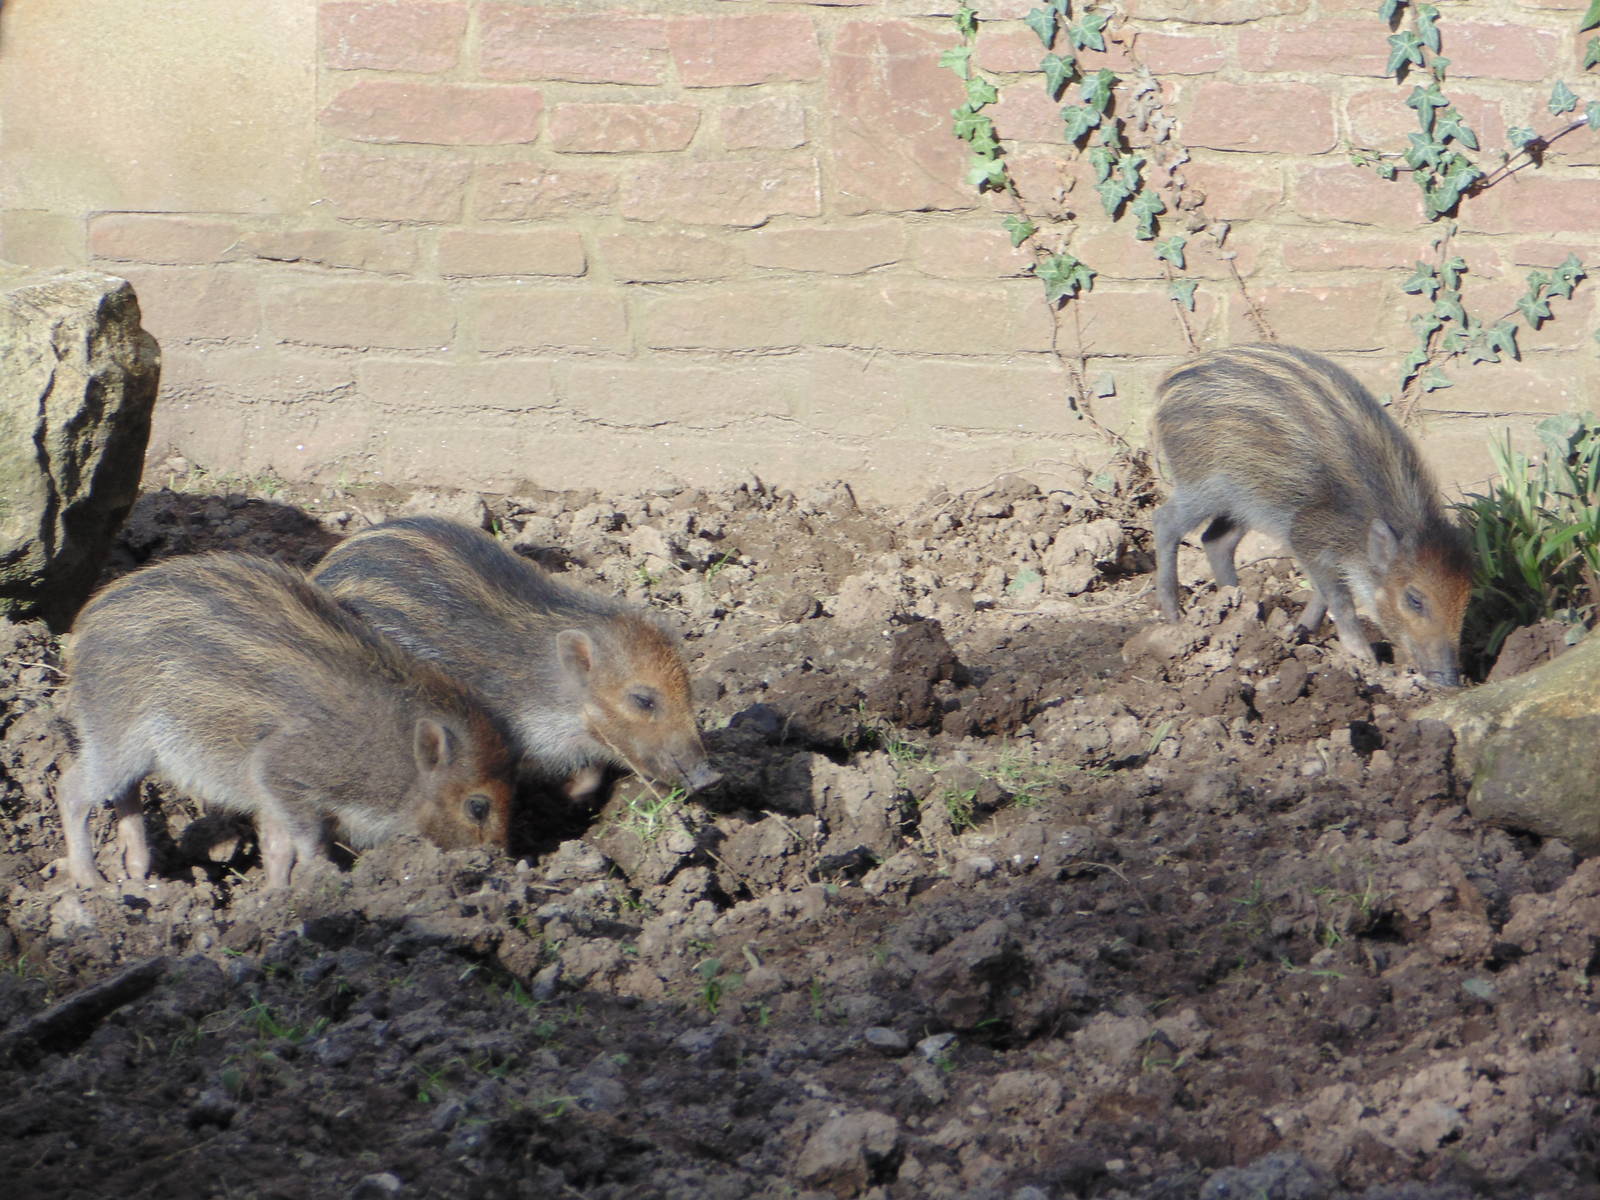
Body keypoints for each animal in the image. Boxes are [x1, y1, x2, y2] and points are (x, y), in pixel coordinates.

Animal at [57, 553, 514, 888]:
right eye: (477, 806)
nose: (501, 863)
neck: (398, 756)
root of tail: (84, 625)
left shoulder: (272, 792)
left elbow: (277, 847)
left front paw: (275, 898)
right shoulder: (279, 769)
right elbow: (307, 843)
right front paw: (321, 880)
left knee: (125, 793)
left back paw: (138, 872)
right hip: (116, 734)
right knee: (72, 789)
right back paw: (92, 882)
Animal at [1151, 343, 1472, 686]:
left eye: (1466, 600)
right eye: (1414, 599)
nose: (1451, 681)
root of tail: (1167, 382)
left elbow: (1323, 591)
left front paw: (1298, 634)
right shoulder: (1306, 535)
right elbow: (1338, 596)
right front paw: (1364, 659)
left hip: (1244, 504)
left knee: (1216, 540)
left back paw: (1242, 612)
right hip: (1202, 485)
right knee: (1165, 521)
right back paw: (1175, 617)